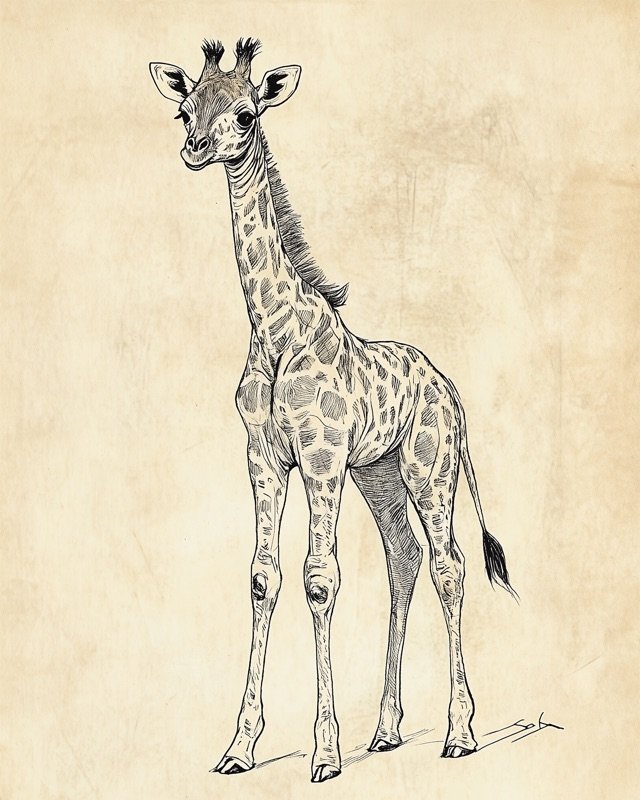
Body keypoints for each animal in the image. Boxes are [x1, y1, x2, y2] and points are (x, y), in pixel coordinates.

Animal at [150, 37, 516, 783]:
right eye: (184, 108)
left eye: (245, 112)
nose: (196, 148)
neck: (274, 333)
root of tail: (452, 391)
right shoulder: (264, 457)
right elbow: (262, 578)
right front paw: (239, 748)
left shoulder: (319, 458)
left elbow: (320, 580)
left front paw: (323, 753)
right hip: (378, 475)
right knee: (404, 557)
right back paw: (386, 730)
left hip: (429, 471)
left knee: (449, 566)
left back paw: (459, 732)